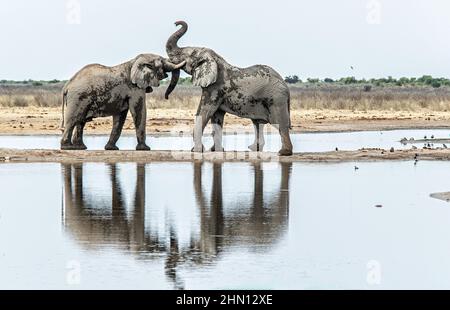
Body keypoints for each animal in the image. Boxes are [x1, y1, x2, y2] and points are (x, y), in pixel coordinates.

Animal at [167, 20, 294, 156]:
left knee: (280, 123)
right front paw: (216, 150)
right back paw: (254, 149)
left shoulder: (215, 88)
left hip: (276, 99)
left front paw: (197, 151)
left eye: (184, 55)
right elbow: (216, 117)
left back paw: (283, 153)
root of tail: (286, 86)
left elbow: (204, 112)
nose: (176, 23)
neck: (215, 60)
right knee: (258, 123)